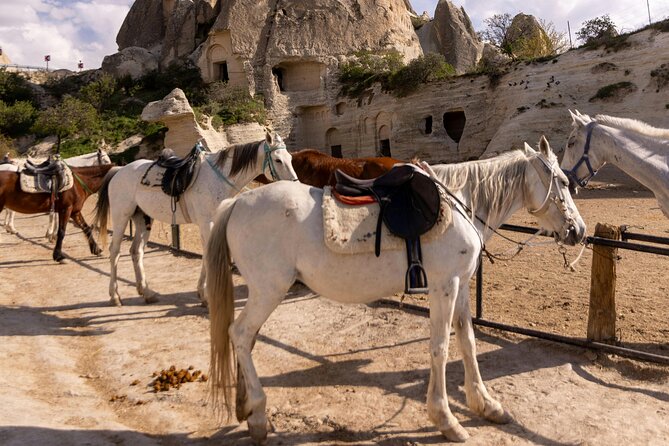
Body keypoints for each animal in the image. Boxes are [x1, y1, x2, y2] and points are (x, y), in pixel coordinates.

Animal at [93, 132, 298, 307]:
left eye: (290, 158)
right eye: (278, 160)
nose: (294, 185)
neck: (219, 178)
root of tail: (119, 170)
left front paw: (202, 293)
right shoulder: (207, 223)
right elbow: (208, 255)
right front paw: (206, 295)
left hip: (143, 219)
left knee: (136, 251)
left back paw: (146, 292)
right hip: (121, 217)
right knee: (115, 251)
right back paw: (115, 296)